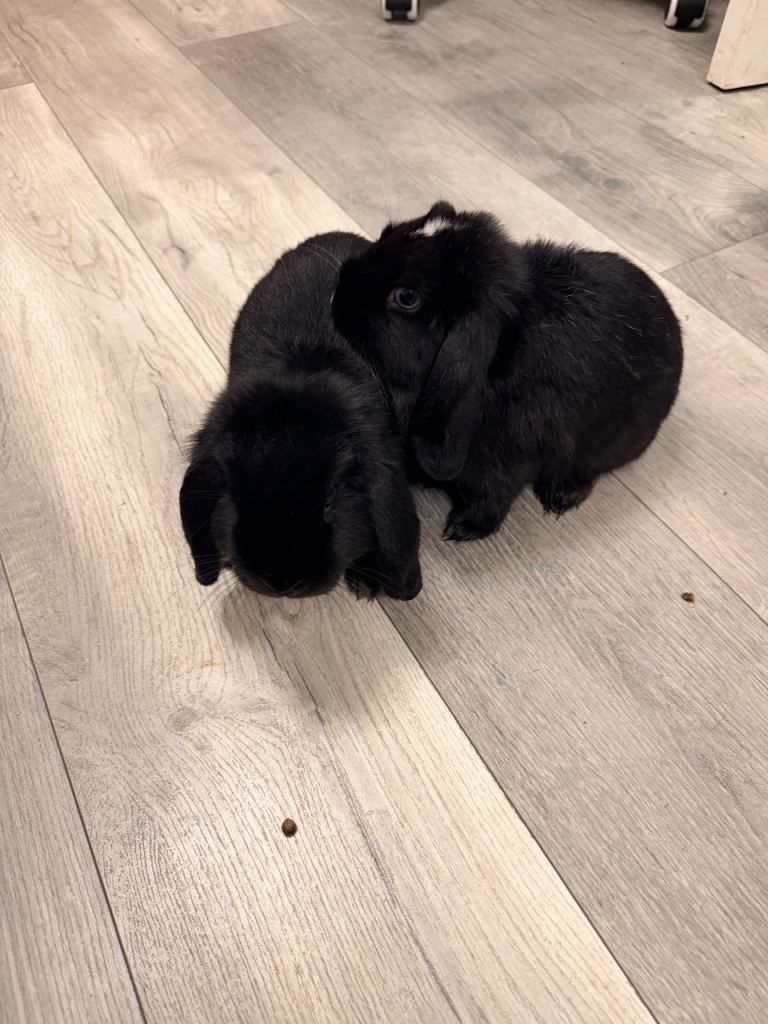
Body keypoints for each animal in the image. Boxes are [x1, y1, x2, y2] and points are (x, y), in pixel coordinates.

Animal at [332, 202, 683, 541]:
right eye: (387, 231)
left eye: (406, 297)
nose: (337, 296)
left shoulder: (508, 461)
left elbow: (493, 496)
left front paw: (462, 529)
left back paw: (560, 495)